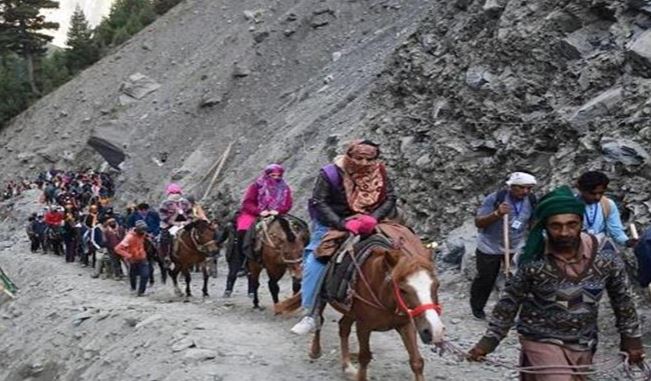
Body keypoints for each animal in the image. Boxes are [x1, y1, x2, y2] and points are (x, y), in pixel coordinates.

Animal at [278, 239, 446, 378]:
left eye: (436, 285)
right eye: (402, 289)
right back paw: (315, 350)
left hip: (350, 312)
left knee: (343, 327)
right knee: (319, 319)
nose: (434, 330)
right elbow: (364, 357)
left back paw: (347, 366)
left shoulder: (405, 325)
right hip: (322, 299)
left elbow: (417, 361)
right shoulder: (363, 326)